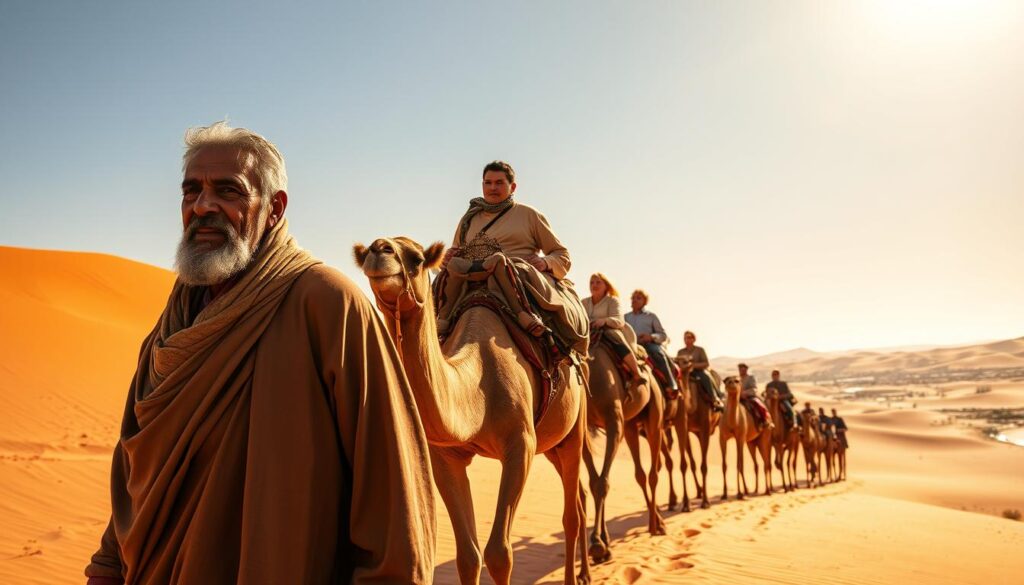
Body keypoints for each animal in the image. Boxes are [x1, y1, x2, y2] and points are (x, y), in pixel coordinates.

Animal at [353, 238, 590, 585]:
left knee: (571, 516)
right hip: (552, 445)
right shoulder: (446, 457)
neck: (479, 386)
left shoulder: (520, 446)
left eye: (417, 259)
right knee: (579, 502)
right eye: (371, 249)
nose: (379, 248)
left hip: (575, 430)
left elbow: (499, 554)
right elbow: (468, 556)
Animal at [583, 338, 666, 564]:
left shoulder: (614, 423)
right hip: (631, 425)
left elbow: (602, 483)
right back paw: (656, 522)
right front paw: (604, 545)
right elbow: (595, 481)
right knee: (641, 474)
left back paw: (656, 526)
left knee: (654, 473)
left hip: (654, 418)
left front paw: (597, 544)